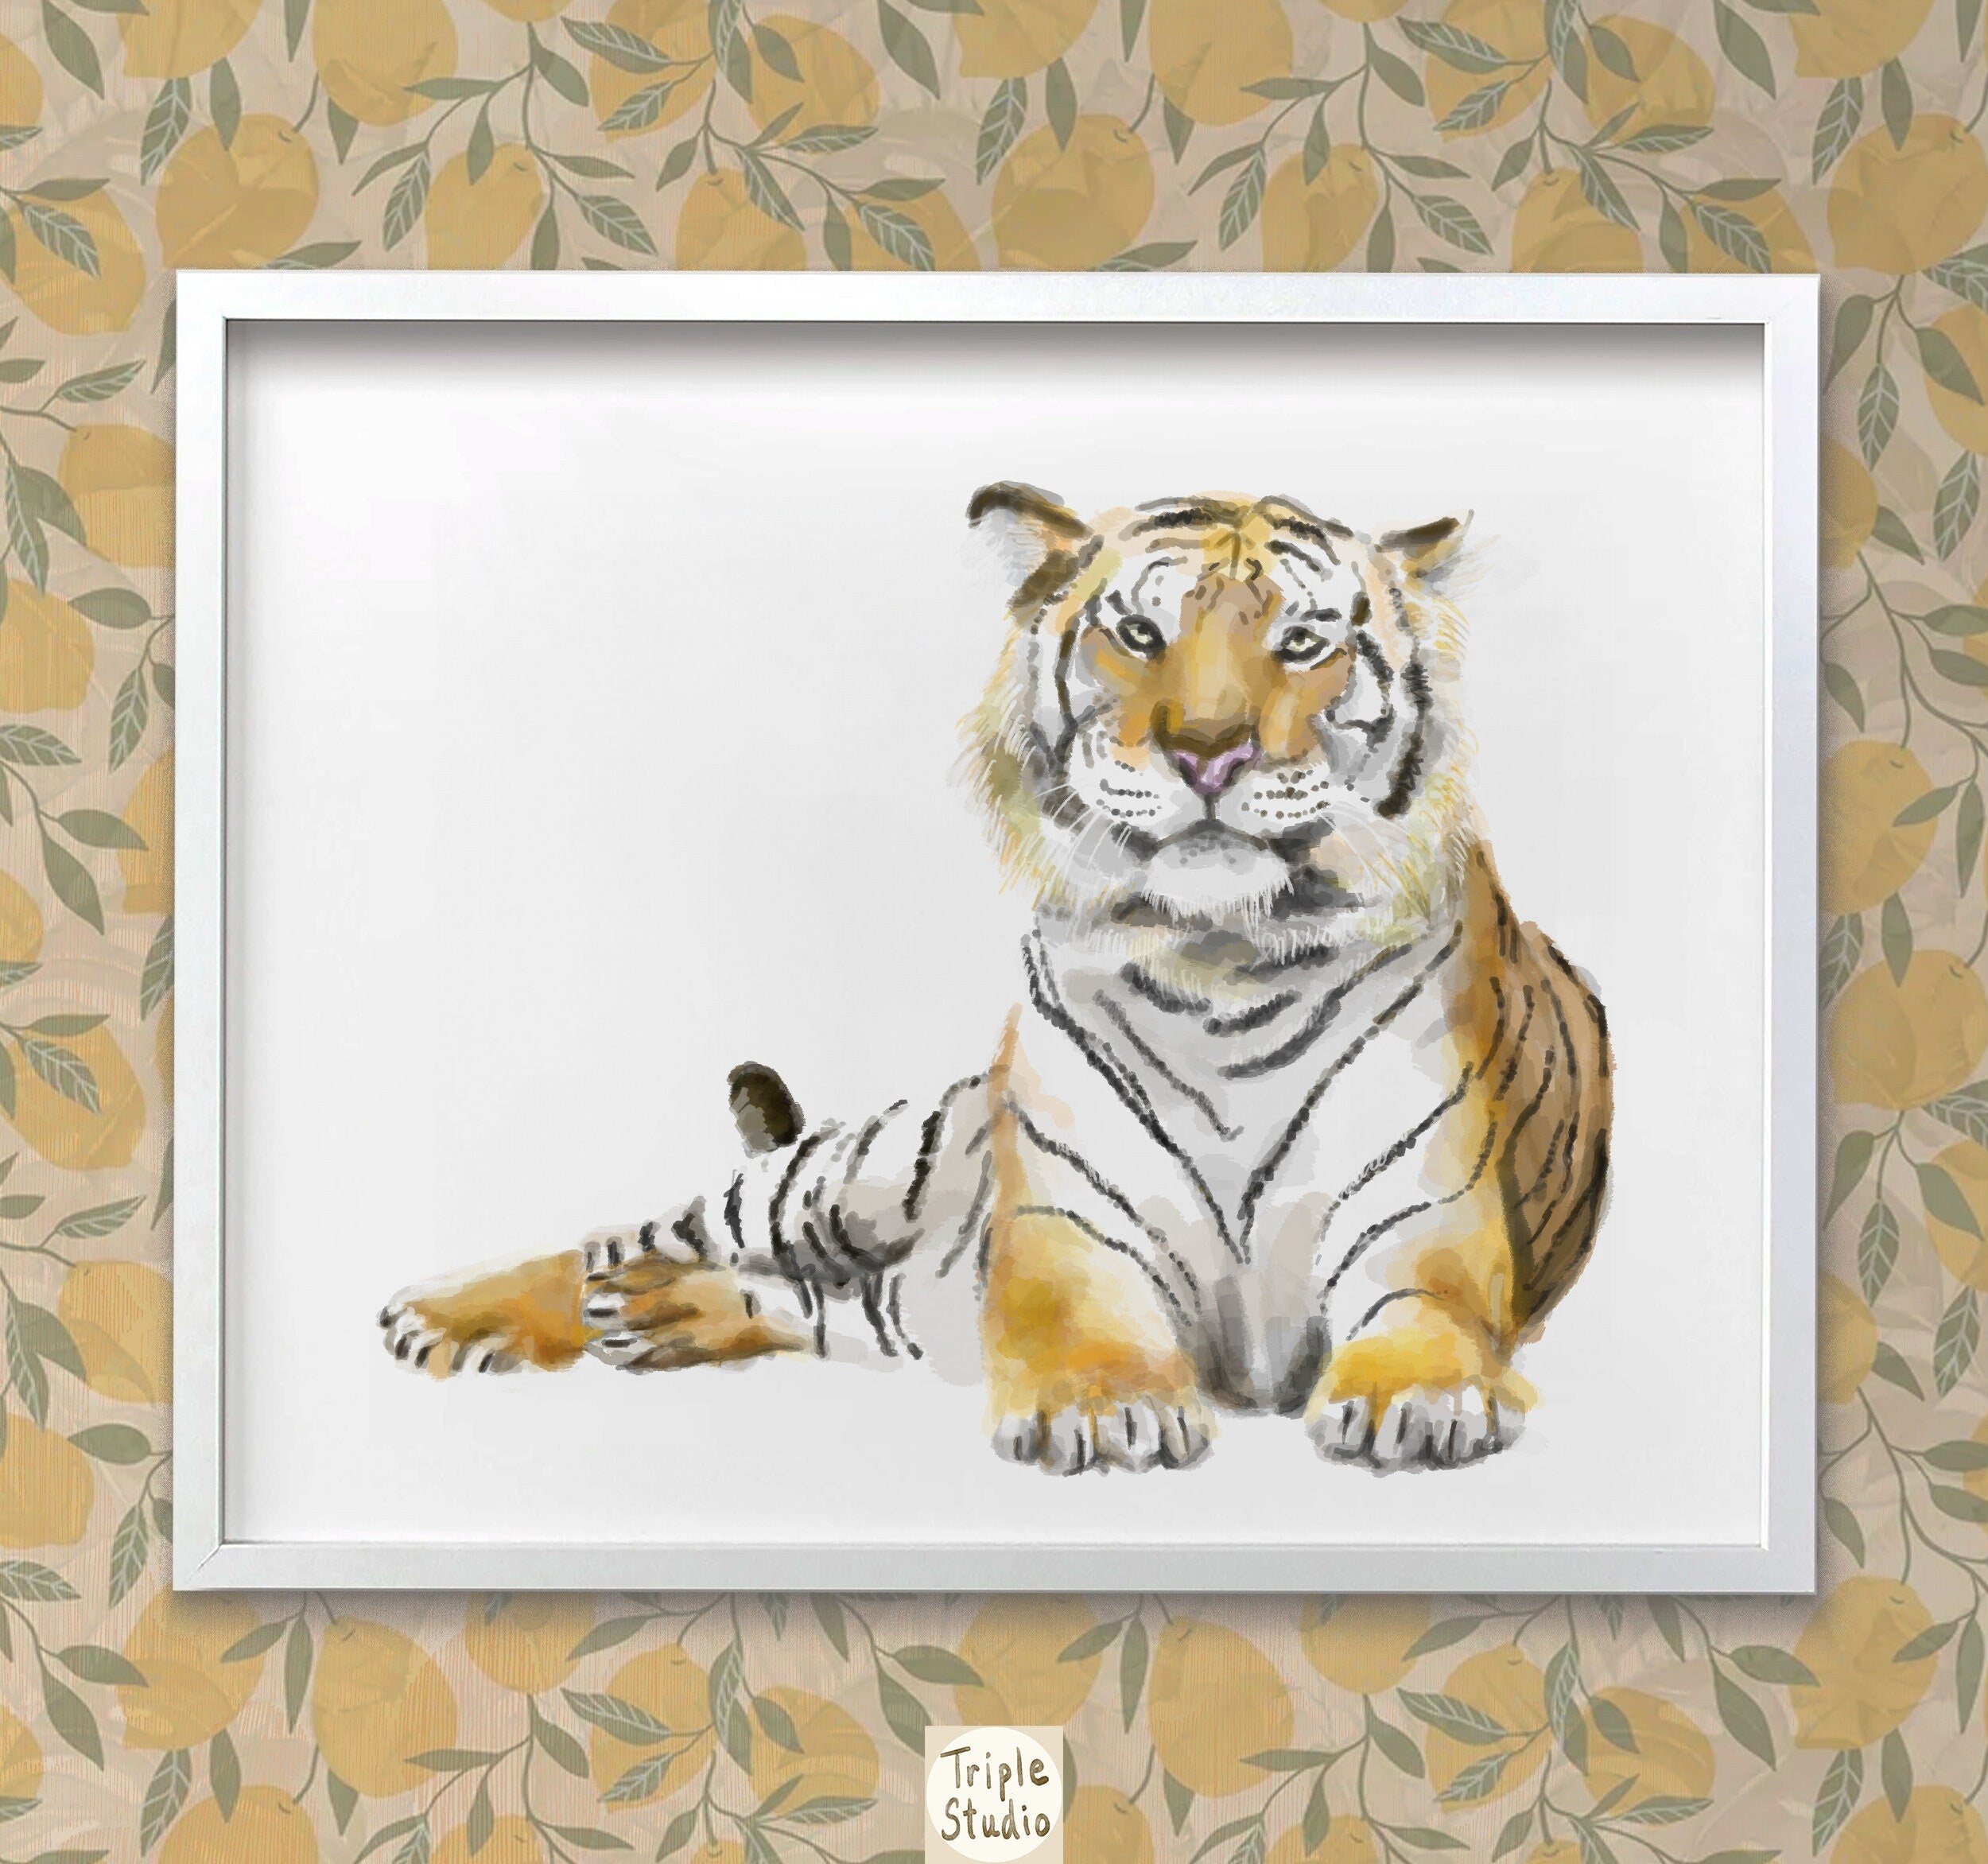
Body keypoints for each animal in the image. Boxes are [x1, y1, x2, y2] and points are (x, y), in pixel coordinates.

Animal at [377, 484, 1612, 1476]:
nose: (1209, 752)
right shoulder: (1066, 1227)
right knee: (637, 1234)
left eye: (1305, 642)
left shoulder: (1424, 1225)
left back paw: (662, 1317)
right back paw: (455, 1313)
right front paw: (1103, 1412)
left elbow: (1430, 1320)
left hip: (886, 1293)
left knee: (814, 1301)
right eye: (1137, 632)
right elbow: (1078, 1323)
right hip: (862, 1166)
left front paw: (1420, 1400)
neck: (1218, 964)